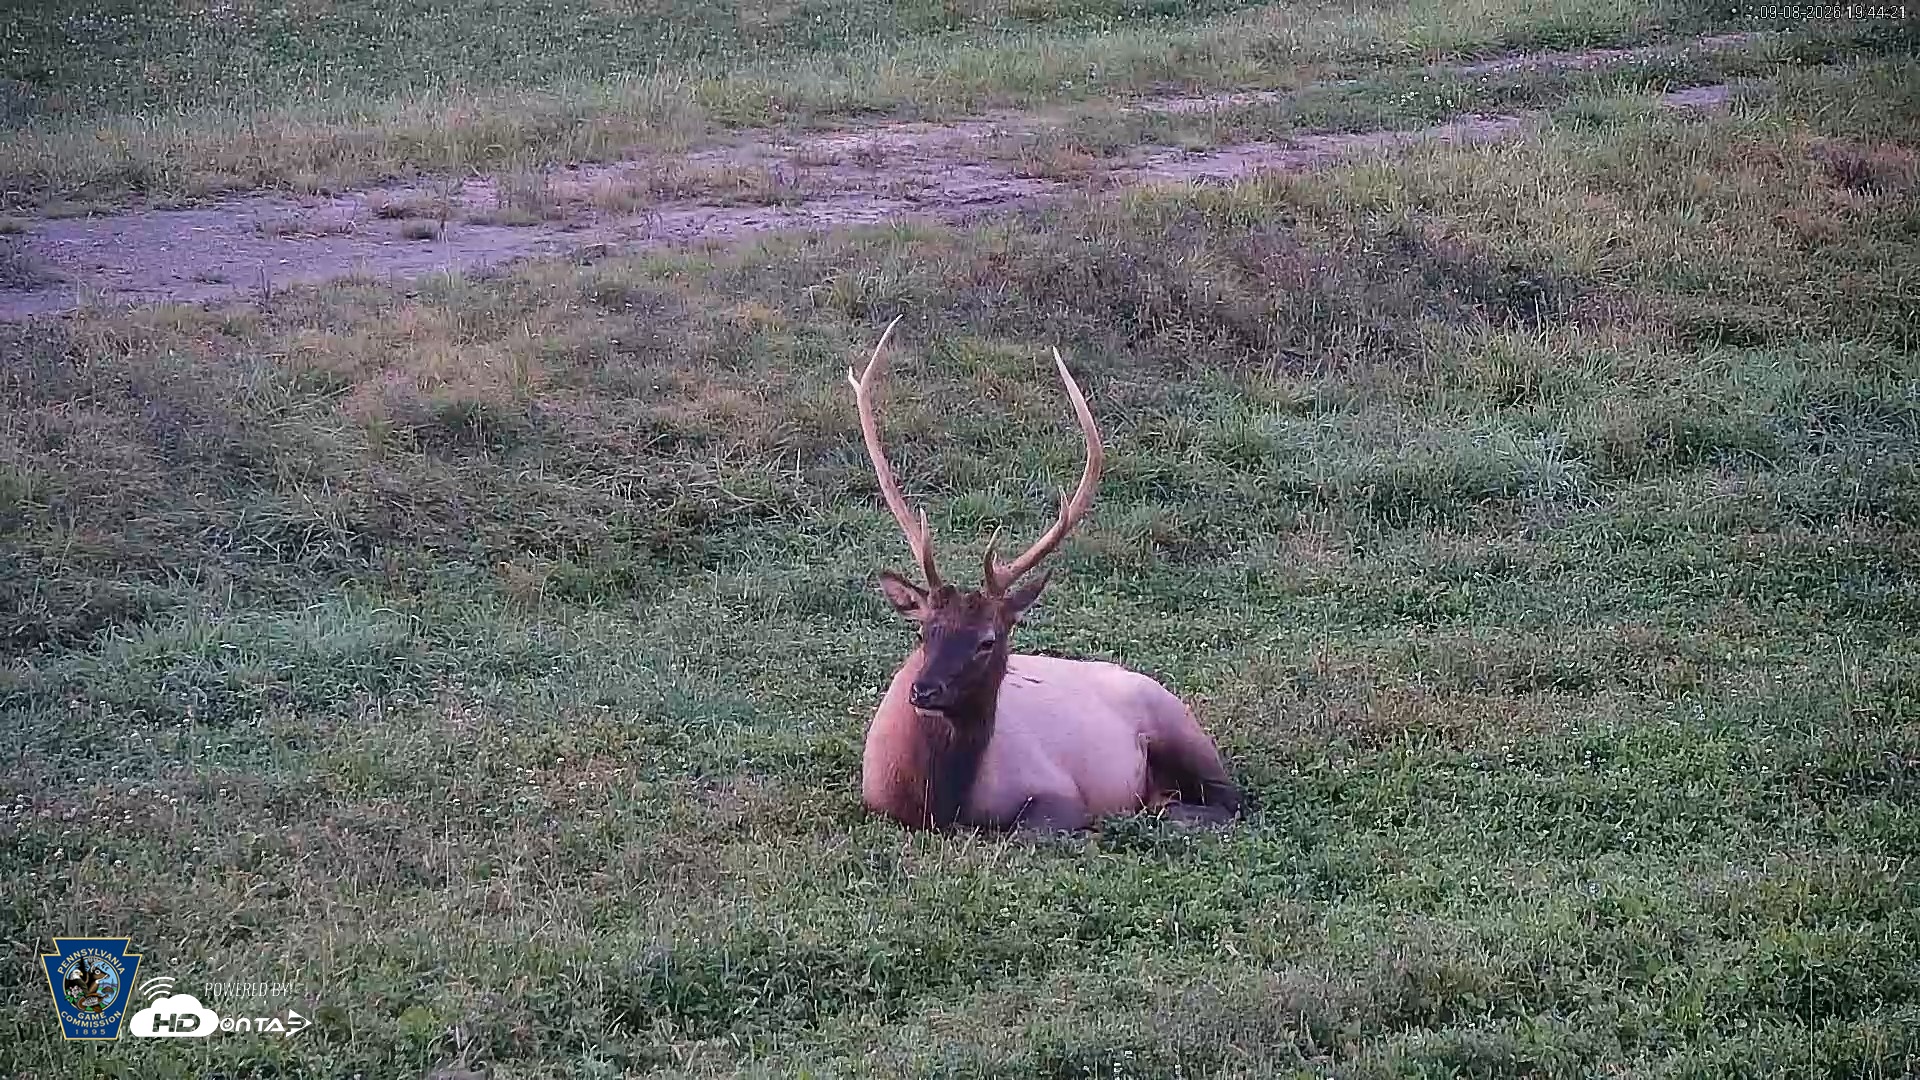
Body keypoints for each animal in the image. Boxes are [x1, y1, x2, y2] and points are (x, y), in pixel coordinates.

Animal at [848, 316, 1243, 834]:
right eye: (922, 631)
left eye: (987, 640)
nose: (925, 689)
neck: (939, 802)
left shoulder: (1057, 792)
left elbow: (1031, 828)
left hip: (1181, 727)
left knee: (1233, 798)